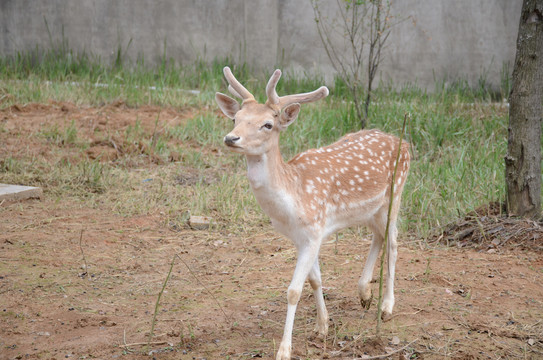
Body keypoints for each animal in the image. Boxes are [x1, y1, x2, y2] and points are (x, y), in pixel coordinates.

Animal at [215, 67, 410, 360]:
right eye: (236, 118)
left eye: (267, 124)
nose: (231, 138)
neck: (293, 197)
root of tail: (405, 143)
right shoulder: (303, 237)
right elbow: (315, 281)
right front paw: (322, 327)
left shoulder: (314, 230)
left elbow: (294, 291)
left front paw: (284, 350)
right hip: (370, 210)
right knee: (378, 236)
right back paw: (364, 294)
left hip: (395, 194)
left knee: (394, 243)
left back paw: (386, 307)